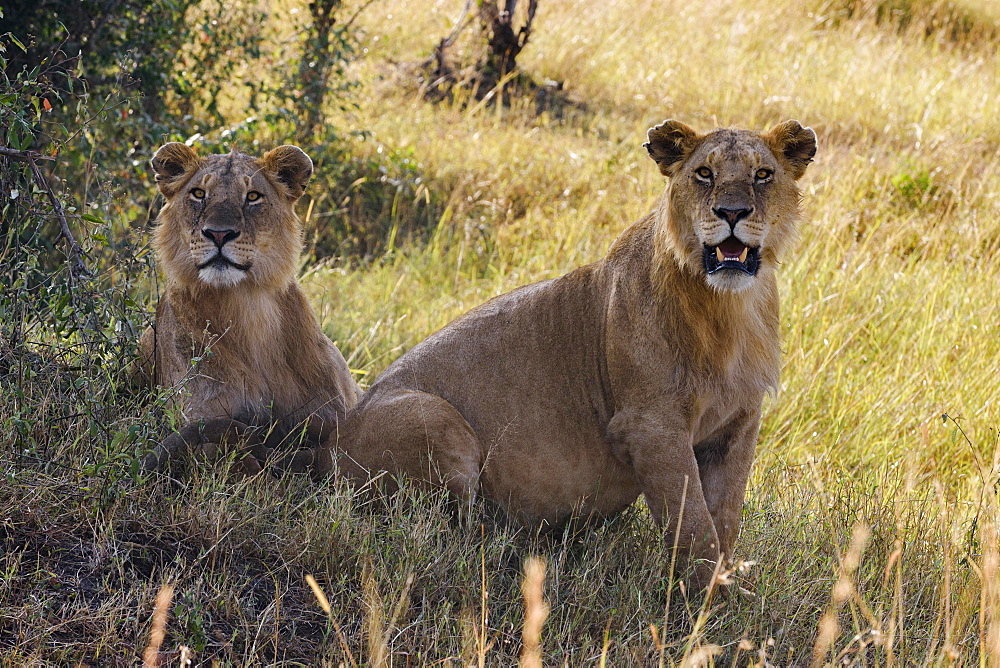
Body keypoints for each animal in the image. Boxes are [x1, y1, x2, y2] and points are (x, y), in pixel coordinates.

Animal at [141, 143, 360, 472]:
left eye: (253, 196)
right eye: (198, 194)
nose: (219, 234)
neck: (245, 304)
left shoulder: (334, 414)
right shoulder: (202, 420)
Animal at [332, 120, 816, 584]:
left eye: (762, 174)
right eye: (704, 174)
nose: (732, 213)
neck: (727, 310)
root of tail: (328, 447)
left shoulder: (739, 423)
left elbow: (726, 516)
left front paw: (724, 586)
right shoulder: (650, 425)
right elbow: (693, 522)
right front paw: (704, 599)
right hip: (436, 421)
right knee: (445, 531)